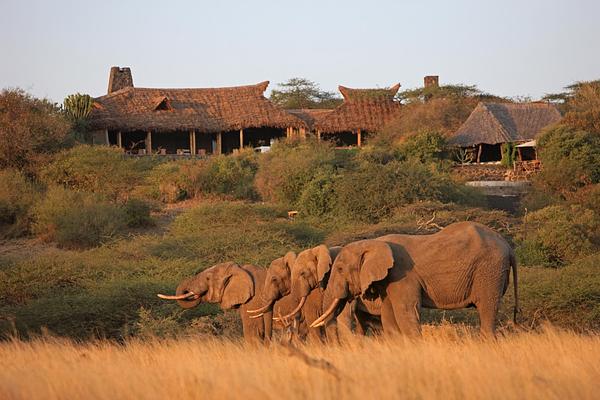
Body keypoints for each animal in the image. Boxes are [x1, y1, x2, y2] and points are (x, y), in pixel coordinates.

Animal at [312, 222, 516, 338]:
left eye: (339, 269)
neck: (374, 243)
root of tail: (508, 245)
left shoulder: (402, 275)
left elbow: (405, 312)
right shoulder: (388, 280)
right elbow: (389, 316)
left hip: (489, 270)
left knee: (487, 310)